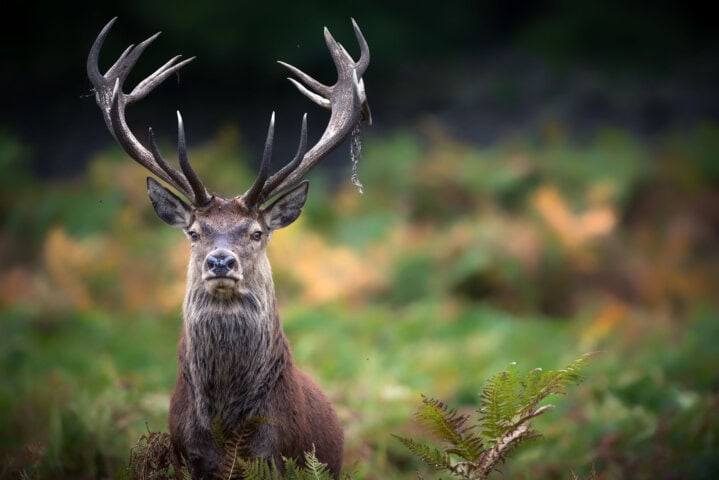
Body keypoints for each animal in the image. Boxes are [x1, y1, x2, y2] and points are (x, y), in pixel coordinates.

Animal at [87, 18, 370, 479]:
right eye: (194, 231)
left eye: (256, 232)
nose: (221, 261)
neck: (228, 431)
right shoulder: (188, 458)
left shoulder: (276, 455)